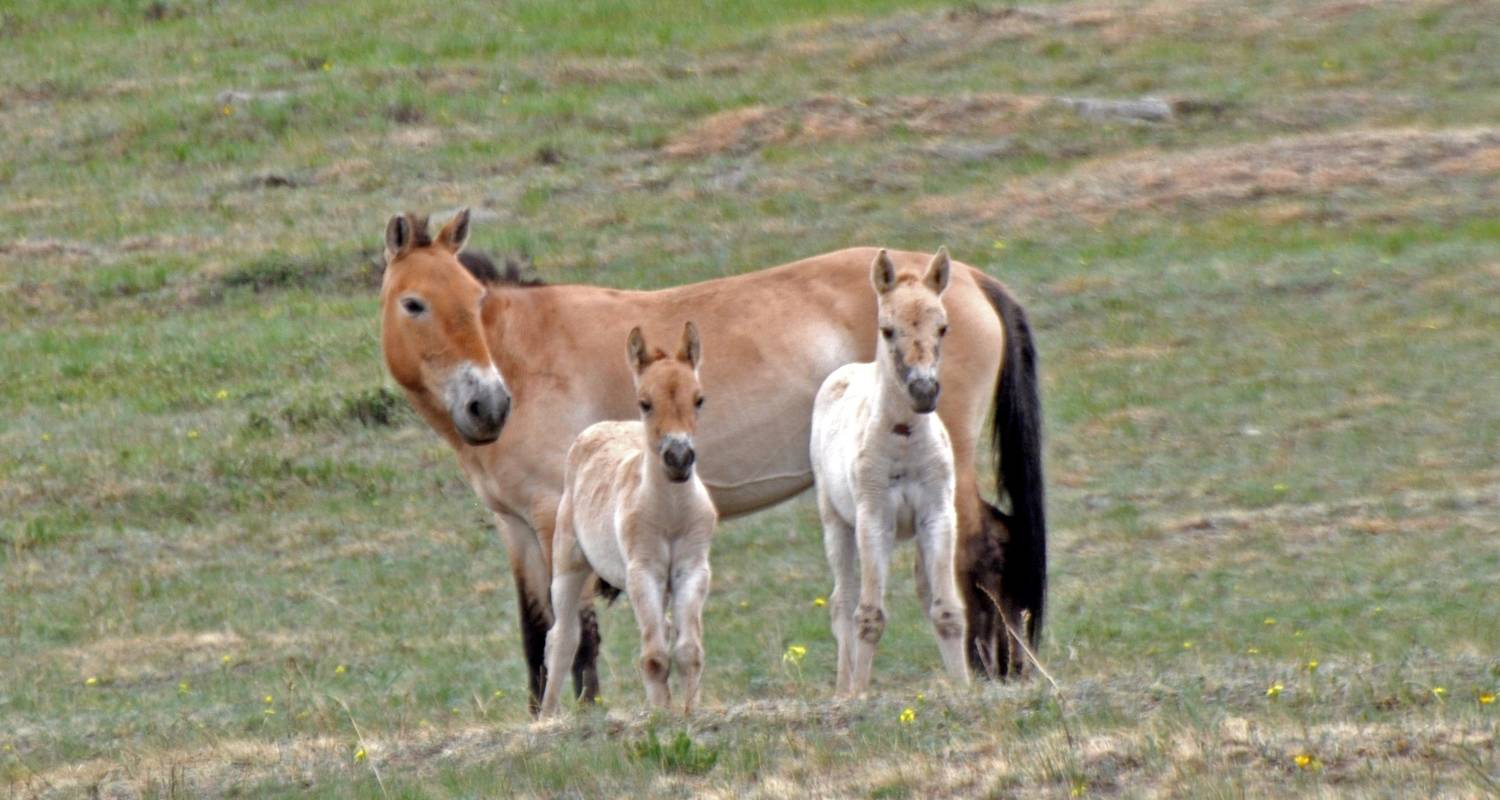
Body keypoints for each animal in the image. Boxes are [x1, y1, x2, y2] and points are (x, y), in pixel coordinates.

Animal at [543, 321, 717, 714]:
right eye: (645, 403)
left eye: (699, 399)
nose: (678, 458)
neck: (670, 514)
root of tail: (596, 428)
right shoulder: (642, 572)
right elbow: (653, 657)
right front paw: (661, 714)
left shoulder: (692, 570)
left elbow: (689, 651)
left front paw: (688, 711)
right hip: (568, 565)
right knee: (561, 639)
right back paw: (546, 717)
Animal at [810, 247, 972, 693]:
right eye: (886, 329)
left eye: (943, 327)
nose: (923, 391)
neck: (903, 443)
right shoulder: (873, 518)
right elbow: (868, 615)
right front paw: (860, 695)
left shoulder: (937, 515)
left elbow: (947, 610)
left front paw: (965, 690)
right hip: (835, 522)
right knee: (842, 603)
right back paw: (843, 691)